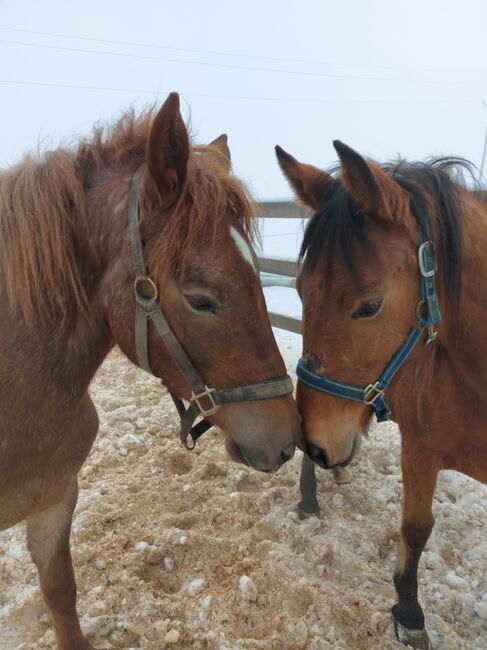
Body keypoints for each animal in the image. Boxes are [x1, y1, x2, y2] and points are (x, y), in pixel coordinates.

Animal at [276, 139, 487, 644]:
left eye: (370, 306)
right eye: (299, 290)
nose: (316, 442)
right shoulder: (420, 449)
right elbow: (415, 528)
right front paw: (408, 613)